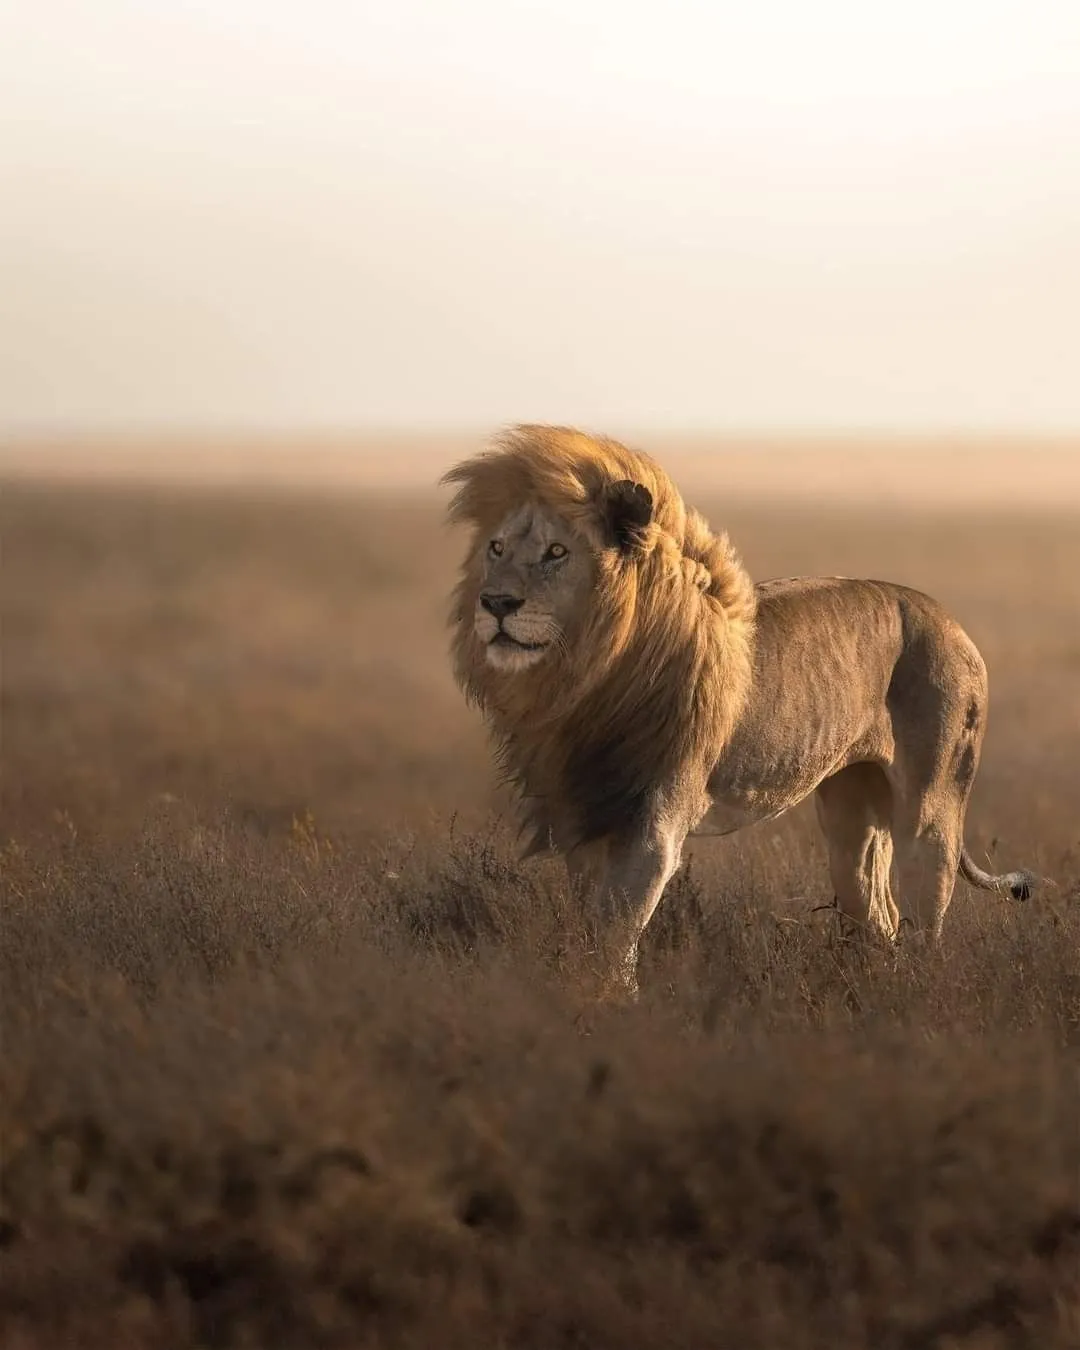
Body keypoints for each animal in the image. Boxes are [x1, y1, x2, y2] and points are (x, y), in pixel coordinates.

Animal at [443, 425, 1037, 987]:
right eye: (496, 549)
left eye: (556, 553)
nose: (495, 603)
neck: (584, 679)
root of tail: (948, 618)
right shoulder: (587, 814)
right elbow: (594, 933)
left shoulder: (653, 823)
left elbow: (614, 939)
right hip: (852, 811)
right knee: (877, 912)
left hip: (932, 810)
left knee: (923, 922)